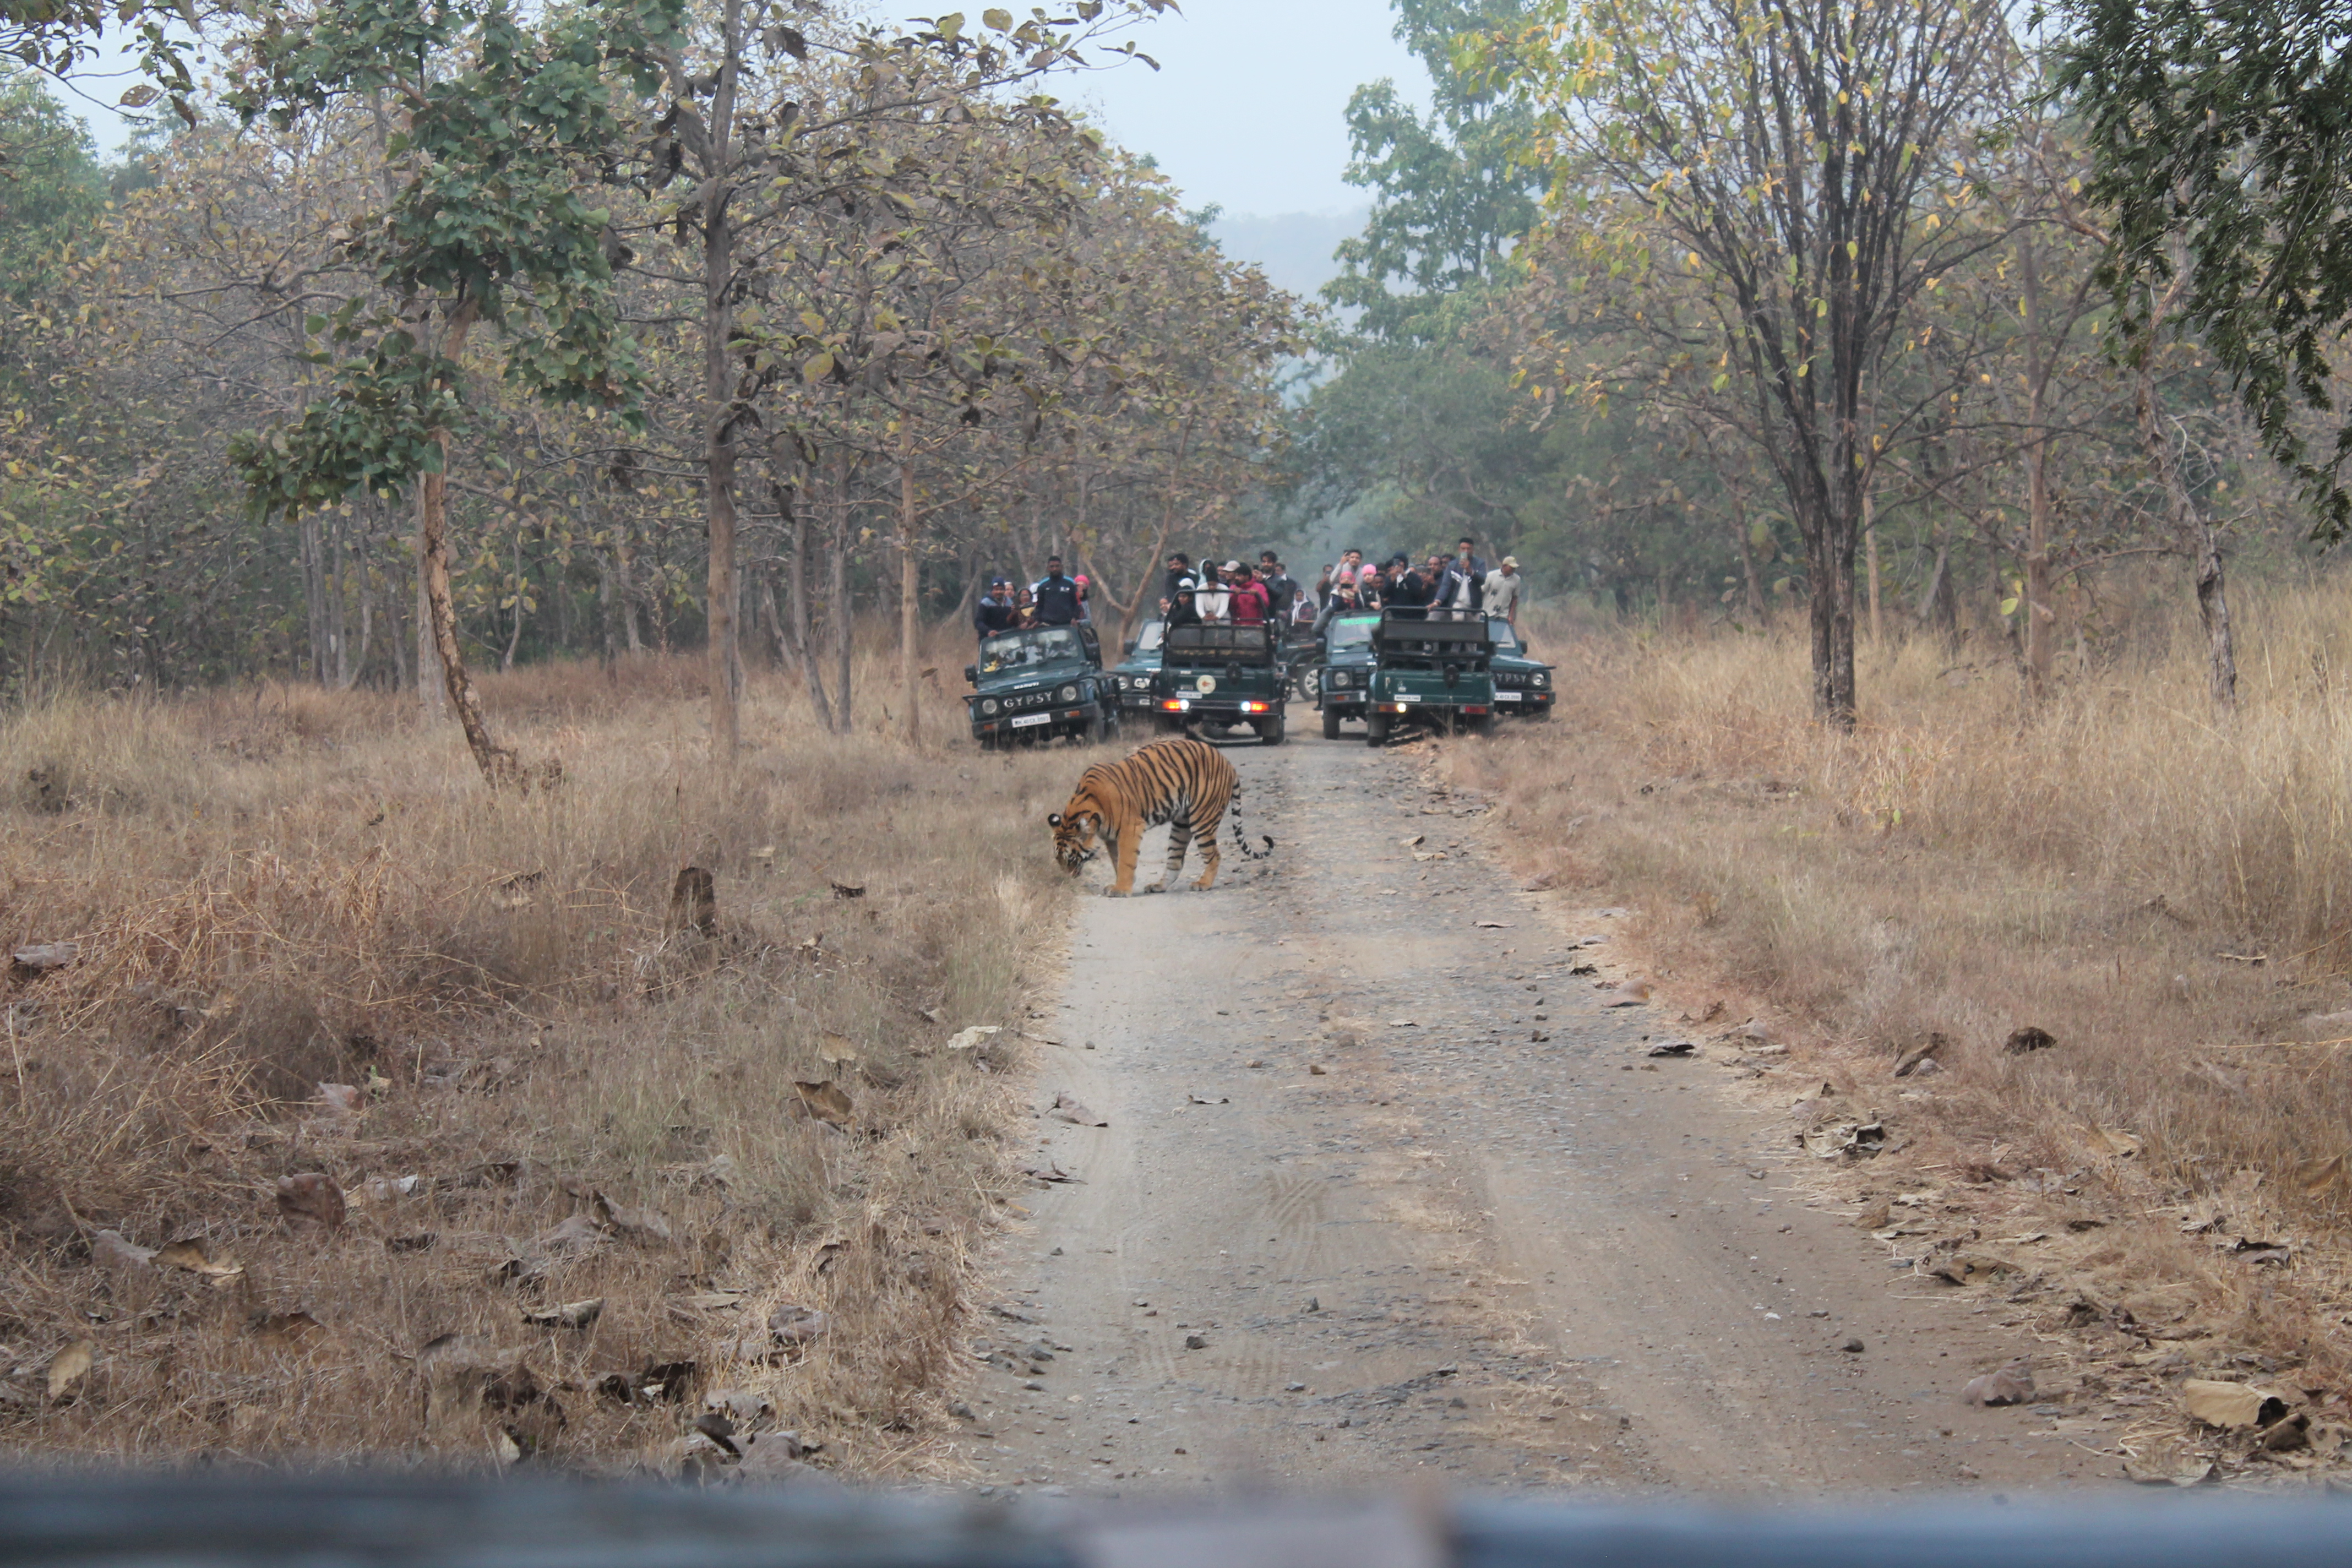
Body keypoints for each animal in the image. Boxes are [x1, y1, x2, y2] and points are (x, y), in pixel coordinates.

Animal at [1049, 738, 1270, 893]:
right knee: (1176, 861)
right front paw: (1122, 884)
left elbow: (1126, 860)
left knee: (1214, 855)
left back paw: (1203, 884)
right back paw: (1158, 886)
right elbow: (1117, 860)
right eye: (1058, 859)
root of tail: (1227, 762)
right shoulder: (1111, 838)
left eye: (1070, 858)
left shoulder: (1130, 828)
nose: (1067, 880)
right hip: (1182, 824)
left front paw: (1121, 889)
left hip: (1203, 819)